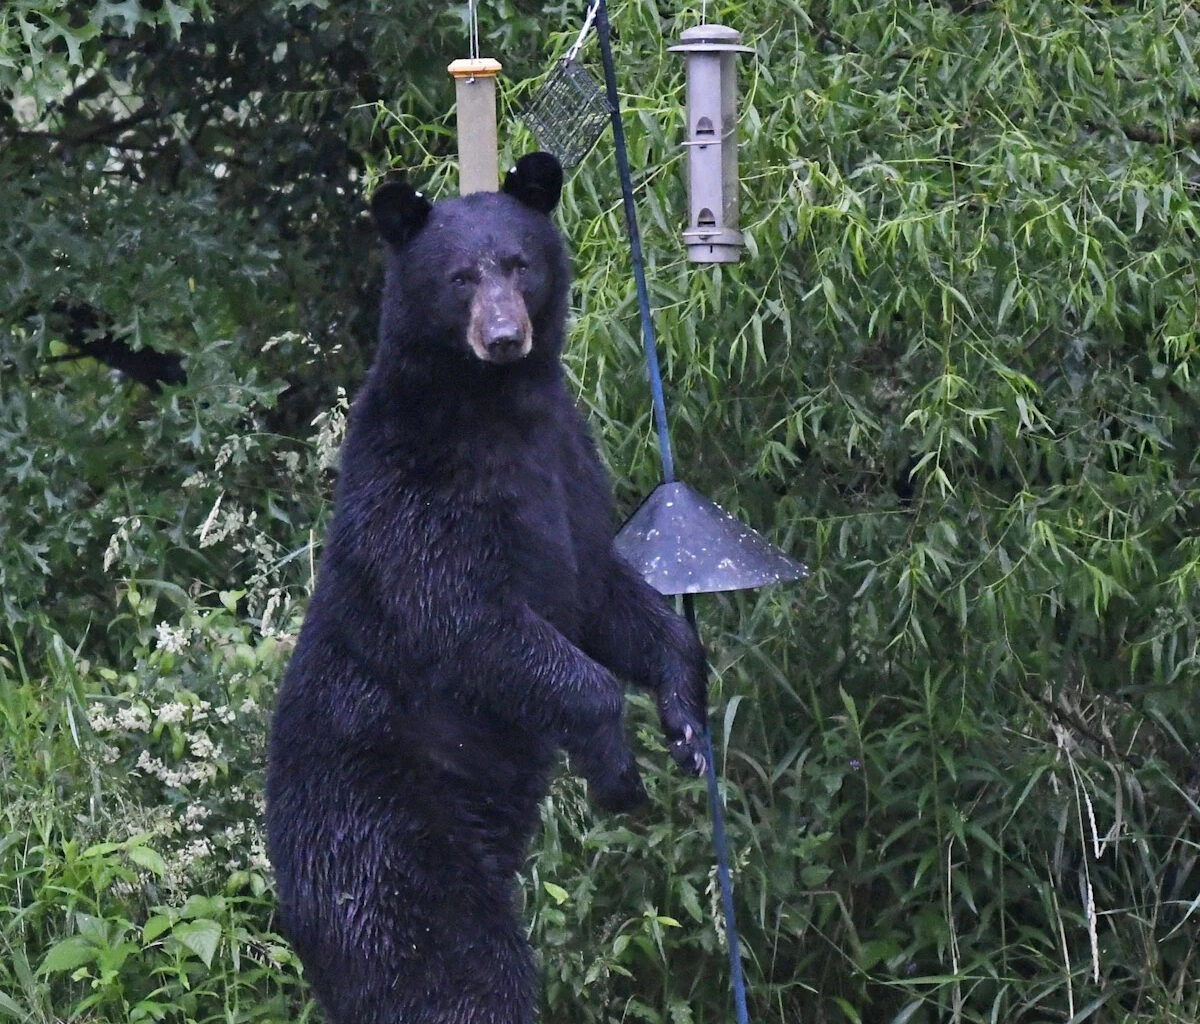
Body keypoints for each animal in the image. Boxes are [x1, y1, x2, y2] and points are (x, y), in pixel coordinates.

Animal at [265, 152, 708, 1024]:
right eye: (460, 276)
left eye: (518, 263)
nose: (504, 338)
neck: (500, 409)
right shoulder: (422, 487)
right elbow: (473, 618)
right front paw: (616, 767)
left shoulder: (571, 461)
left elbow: (605, 590)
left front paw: (684, 718)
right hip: (385, 839)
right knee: (449, 972)